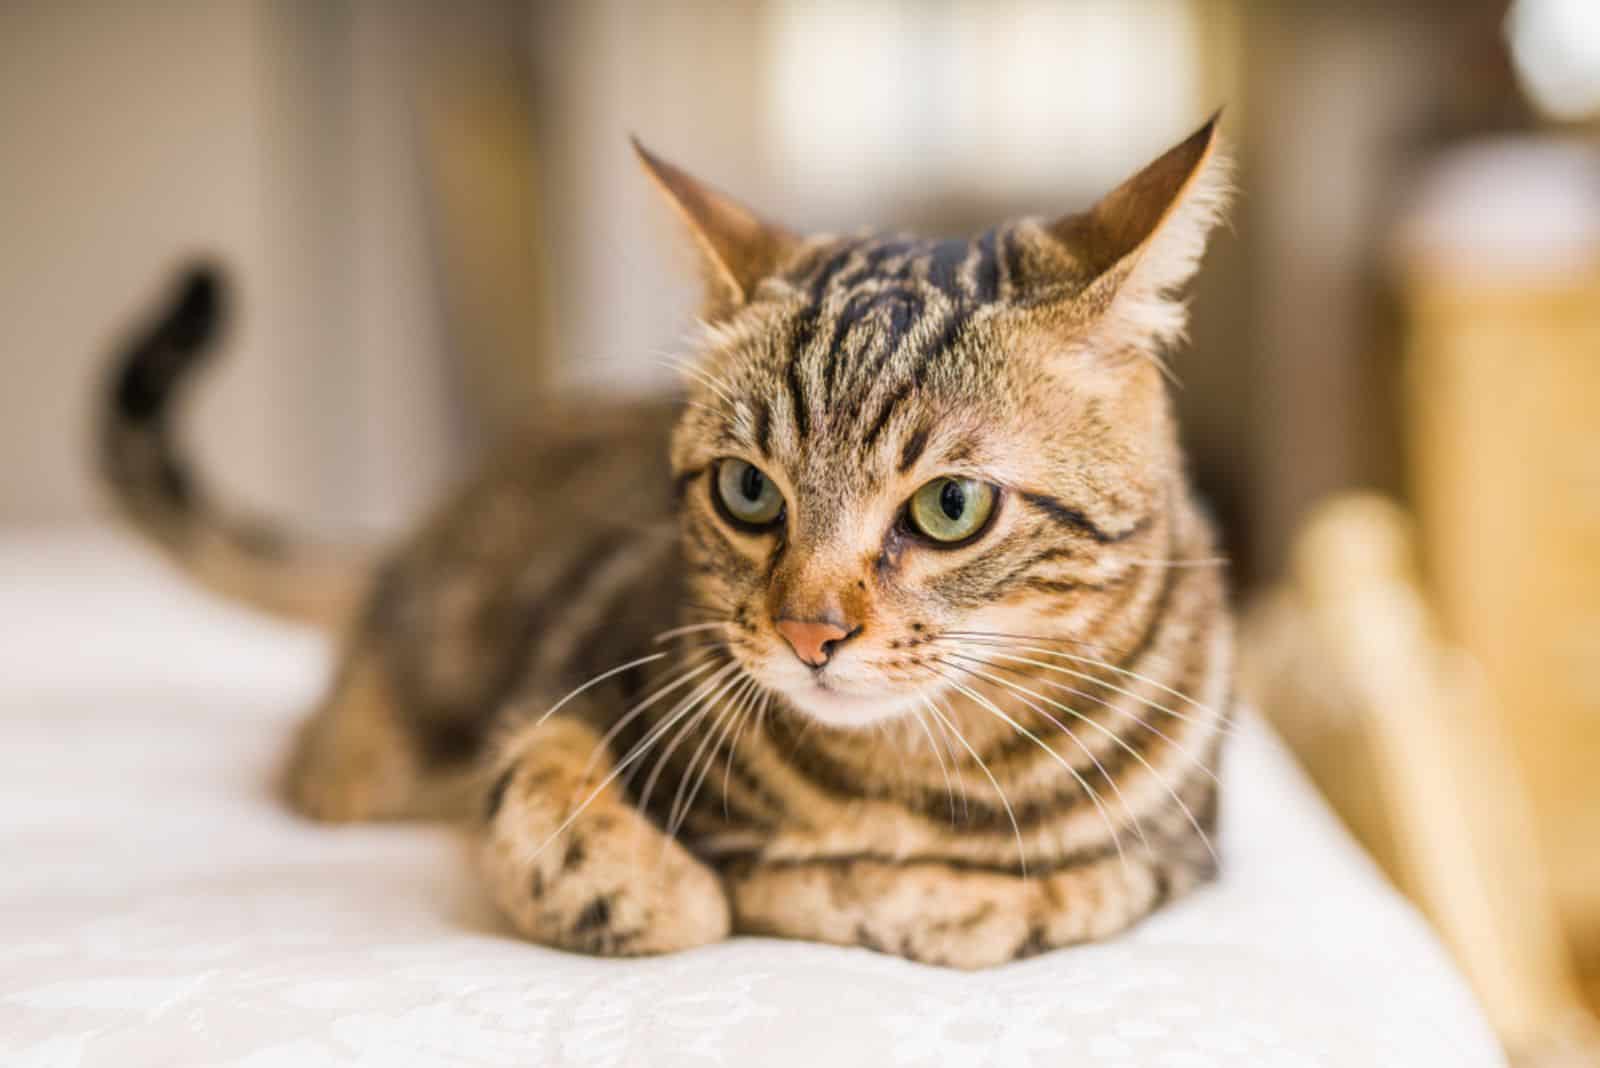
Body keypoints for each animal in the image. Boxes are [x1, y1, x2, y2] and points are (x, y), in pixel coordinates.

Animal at [100, 116, 1235, 965]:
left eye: (950, 507)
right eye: (747, 490)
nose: (809, 633)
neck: (901, 775)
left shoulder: (1177, 853)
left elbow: (1033, 897)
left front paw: (880, 890)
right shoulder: (563, 684)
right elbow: (558, 817)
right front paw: (678, 884)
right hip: (381, 736)